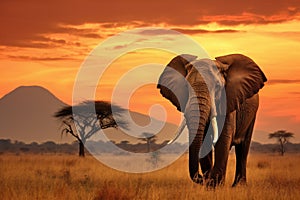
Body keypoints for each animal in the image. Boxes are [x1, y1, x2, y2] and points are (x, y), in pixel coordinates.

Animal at [157, 54, 268, 187]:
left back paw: (239, 186)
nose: (201, 177)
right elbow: (204, 140)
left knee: (243, 147)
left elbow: (224, 138)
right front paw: (210, 185)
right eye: (186, 86)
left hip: (252, 114)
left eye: (218, 87)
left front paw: (215, 185)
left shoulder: (228, 101)